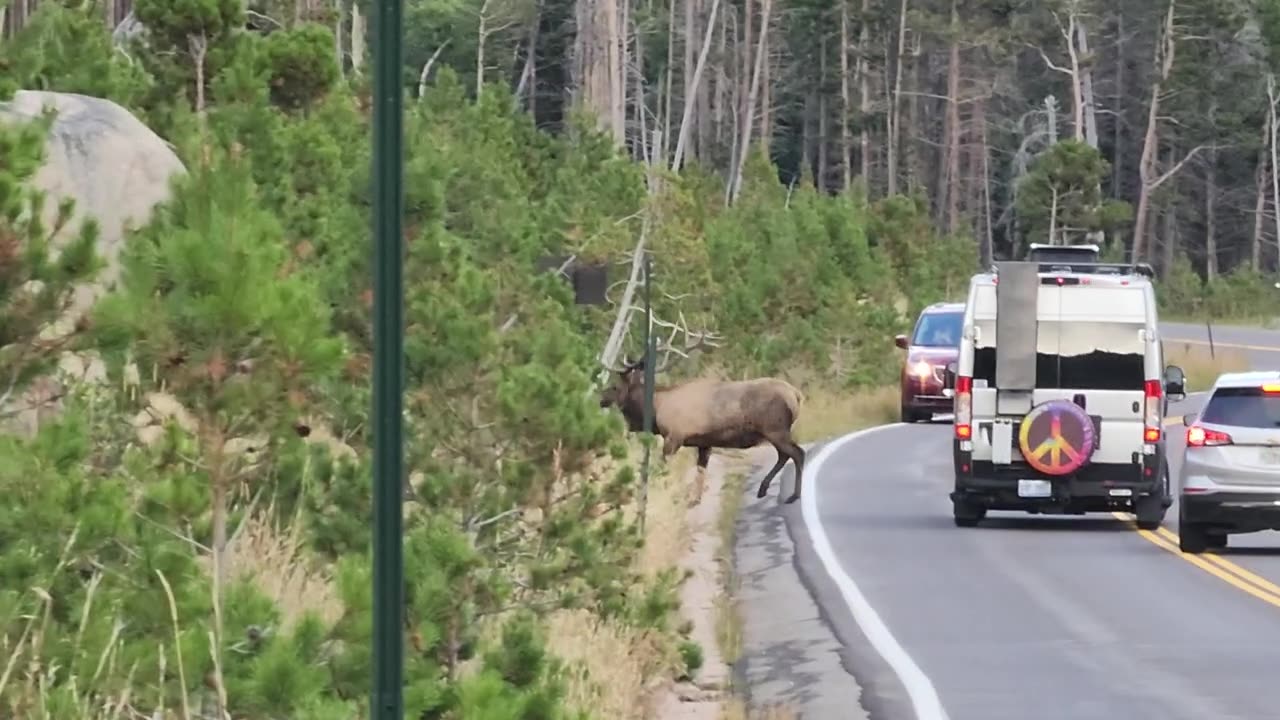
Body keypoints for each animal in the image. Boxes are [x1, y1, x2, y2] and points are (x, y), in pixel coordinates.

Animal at [601, 335, 808, 504]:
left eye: (615, 387)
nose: (601, 398)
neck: (655, 408)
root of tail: (796, 395)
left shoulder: (673, 436)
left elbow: (663, 468)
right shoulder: (704, 443)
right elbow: (700, 472)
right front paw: (695, 498)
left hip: (775, 429)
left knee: (797, 453)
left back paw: (794, 495)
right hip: (776, 432)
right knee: (784, 455)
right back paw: (763, 489)